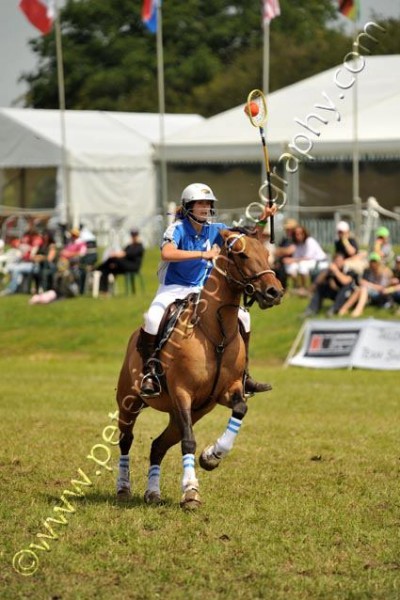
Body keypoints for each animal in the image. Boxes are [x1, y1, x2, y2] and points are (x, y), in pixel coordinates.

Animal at [115, 227, 284, 508]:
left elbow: (240, 408)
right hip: (129, 402)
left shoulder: (224, 392)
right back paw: (123, 487)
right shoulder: (182, 392)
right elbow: (188, 442)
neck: (215, 331)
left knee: (158, 445)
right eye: (242, 254)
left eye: (267, 254)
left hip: (191, 412)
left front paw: (212, 456)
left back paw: (153, 492)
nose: (274, 291)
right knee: (126, 439)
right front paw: (191, 492)